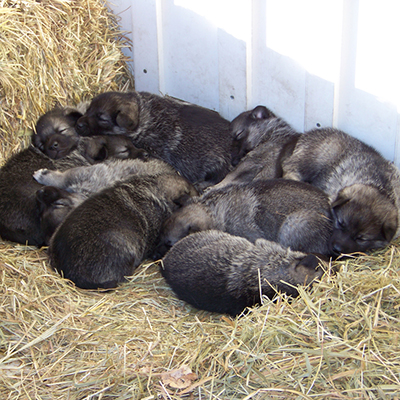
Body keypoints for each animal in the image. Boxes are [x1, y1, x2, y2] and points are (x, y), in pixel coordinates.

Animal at [75, 91, 233, 191]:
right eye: (88, 110)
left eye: (102, 119)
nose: (79, 124)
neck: (144, 114)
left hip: (214, 162)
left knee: (218, 175)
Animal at [282, 126, 400, 255]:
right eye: (340, 223)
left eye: (361, 239)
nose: (337, 249)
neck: (380, 188)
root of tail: (306, 134)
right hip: (315, 157)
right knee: (289, 167)